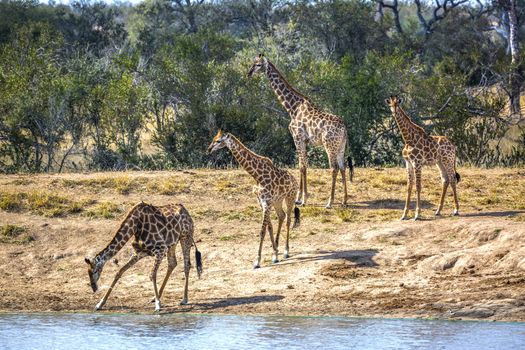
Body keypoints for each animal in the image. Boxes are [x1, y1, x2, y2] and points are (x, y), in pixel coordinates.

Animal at [208, 130, 300, 270]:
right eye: (213, 139)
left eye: (218, 141)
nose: (208, 149)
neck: (257, 175)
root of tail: (295, 180)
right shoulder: (262, 202)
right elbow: (269, 227)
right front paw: (274, 254)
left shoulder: (267, 202)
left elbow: (262, 231)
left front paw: (257, 261)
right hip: (278, 201)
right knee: (282, 216)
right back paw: (279, 249)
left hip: (290, 197)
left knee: (288, 220)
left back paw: (286, 251)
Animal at [246, 53, 352, 209]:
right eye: (253, 63)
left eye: (258, 65)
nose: (249, 74)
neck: (292, 108)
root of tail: (344, 128)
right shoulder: (304, 140)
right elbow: (302, 165)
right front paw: (299, 198)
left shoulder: (297, 137)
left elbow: (302, 166)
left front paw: (302, 199)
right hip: (340, 146)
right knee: (343, 167)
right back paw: (344, 200)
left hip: (329, 146)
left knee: (334, 168)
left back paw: (329, 202)